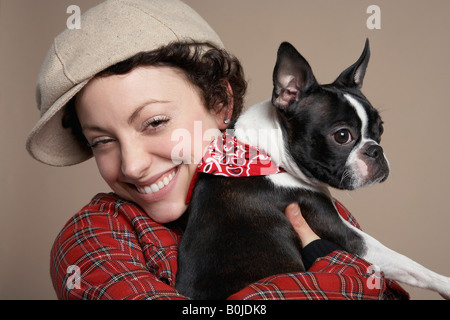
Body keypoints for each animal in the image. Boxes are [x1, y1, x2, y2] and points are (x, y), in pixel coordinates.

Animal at [173, 40, 450, 300]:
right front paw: (445, 283)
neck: (267, 155)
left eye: (380, 129)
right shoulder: (347, 236)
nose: (375, 150)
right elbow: (409, 265)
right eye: (342, 136)